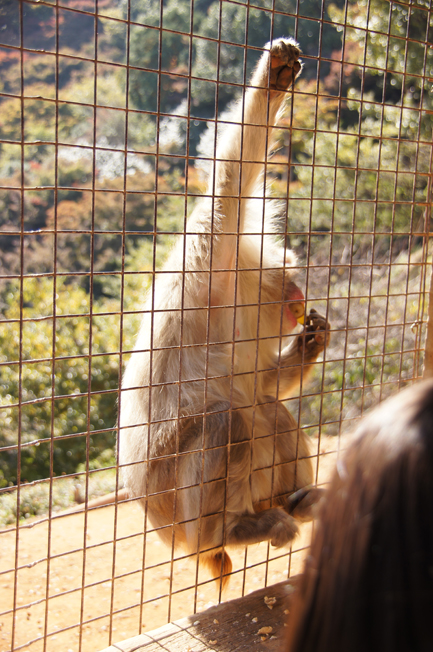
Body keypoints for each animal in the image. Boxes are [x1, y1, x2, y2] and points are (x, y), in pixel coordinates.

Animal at [116, 37, 330, 584]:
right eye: (290, 280)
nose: (299, 292)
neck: (238, 296)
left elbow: (263, 381)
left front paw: (312, 341)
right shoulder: (213, 256)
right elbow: (233, 177)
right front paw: (273, 78)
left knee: (264, 408)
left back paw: (297, 502)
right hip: (183, 518)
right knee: (226, 422)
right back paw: (231, 532)